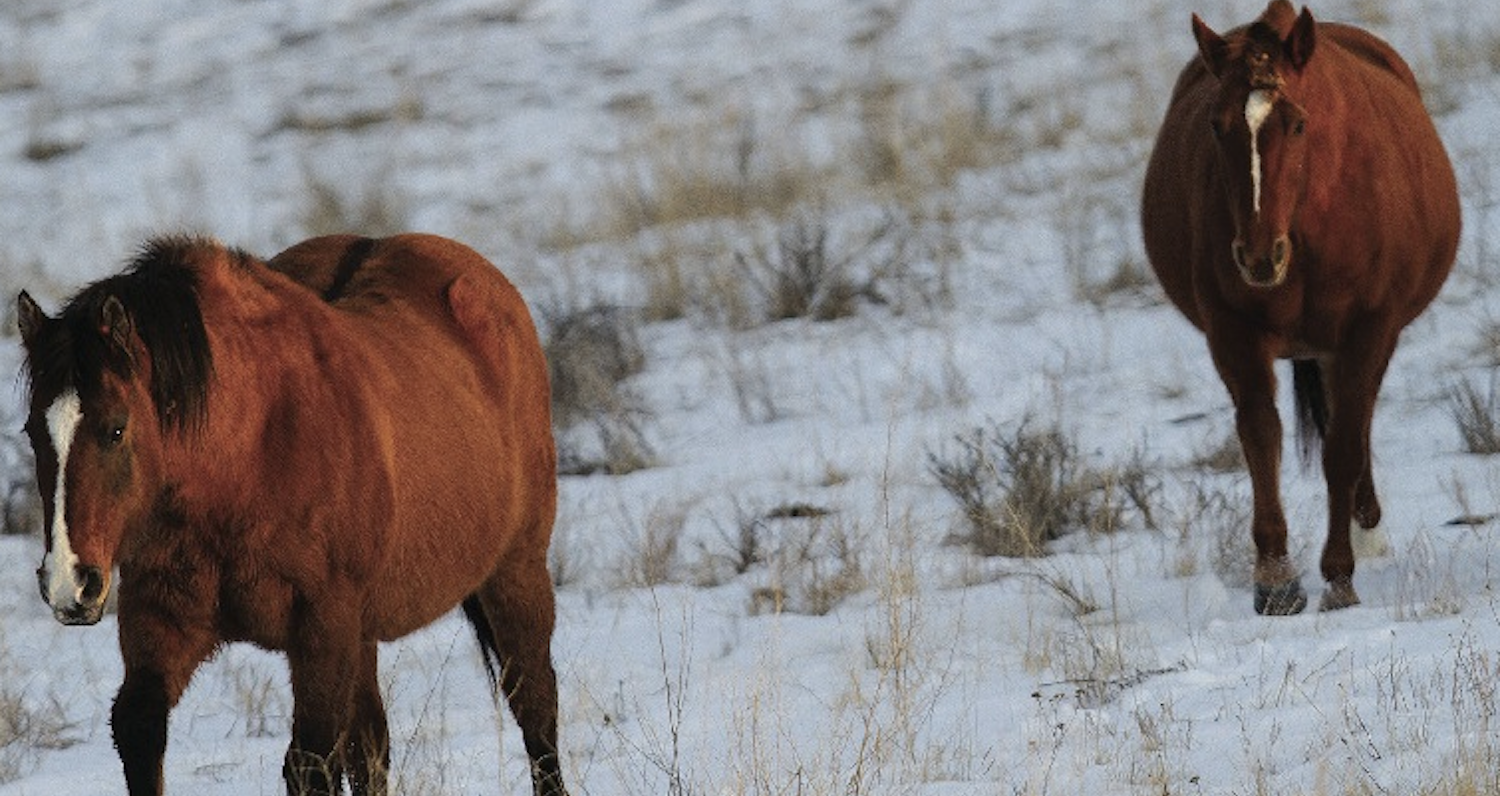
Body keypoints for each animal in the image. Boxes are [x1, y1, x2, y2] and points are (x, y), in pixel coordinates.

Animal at [16, 233, 567, 796]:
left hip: (515, 573)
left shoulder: (322, 627)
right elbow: (139, 728)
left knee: (535, 711)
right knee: (371, 748)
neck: (245, 457)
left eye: (116, 428)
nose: (69, 584)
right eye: (33, 432)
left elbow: (310, 761)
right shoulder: (160, 615)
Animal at [1142, 1, 1460, 614]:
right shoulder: (1233, 331)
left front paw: (1338, 577)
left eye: (1296, 124)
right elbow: (1261, 434)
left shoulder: (1369, 328)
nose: (1257, 256)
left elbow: (1342, 447)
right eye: (1216, 125)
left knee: (1356, 422)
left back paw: (1366, 528)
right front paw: (1275, 579)